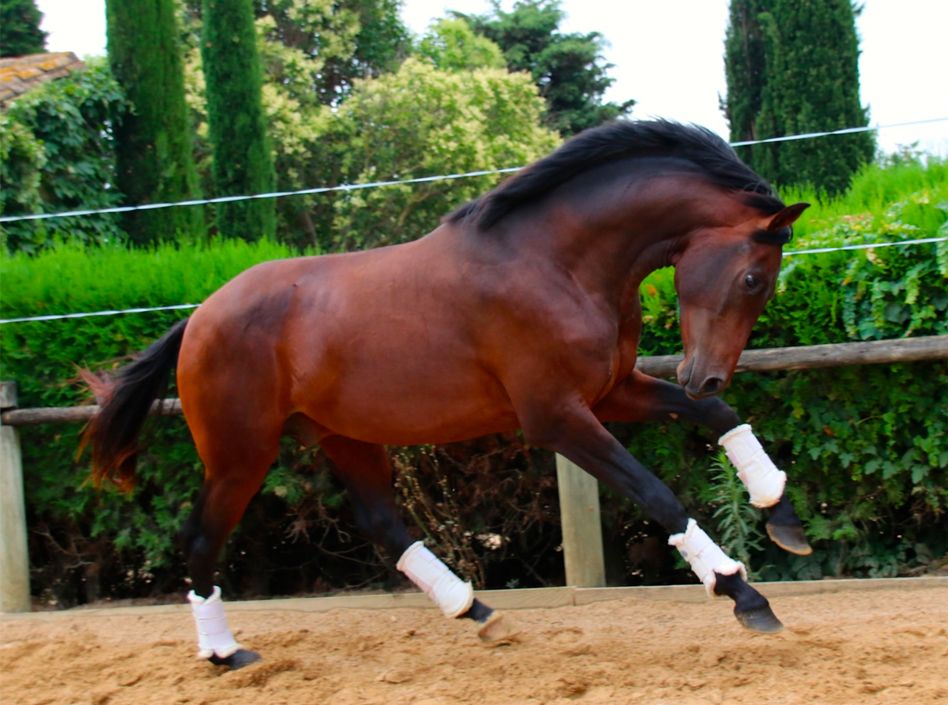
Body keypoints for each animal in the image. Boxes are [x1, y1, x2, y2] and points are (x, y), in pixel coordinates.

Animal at [79, 119, 808, 664]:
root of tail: (201, 316)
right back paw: (227, 653)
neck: (556, 261)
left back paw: (478, 611)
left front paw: (782, 516)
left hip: (344, 436)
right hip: (241, 453)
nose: (704, 371)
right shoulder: (557, 417)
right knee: (201, 539)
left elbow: (718, 414)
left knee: (381, 523)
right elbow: (657, 493)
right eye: (753, 278)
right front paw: (742, 592)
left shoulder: (609, 393)